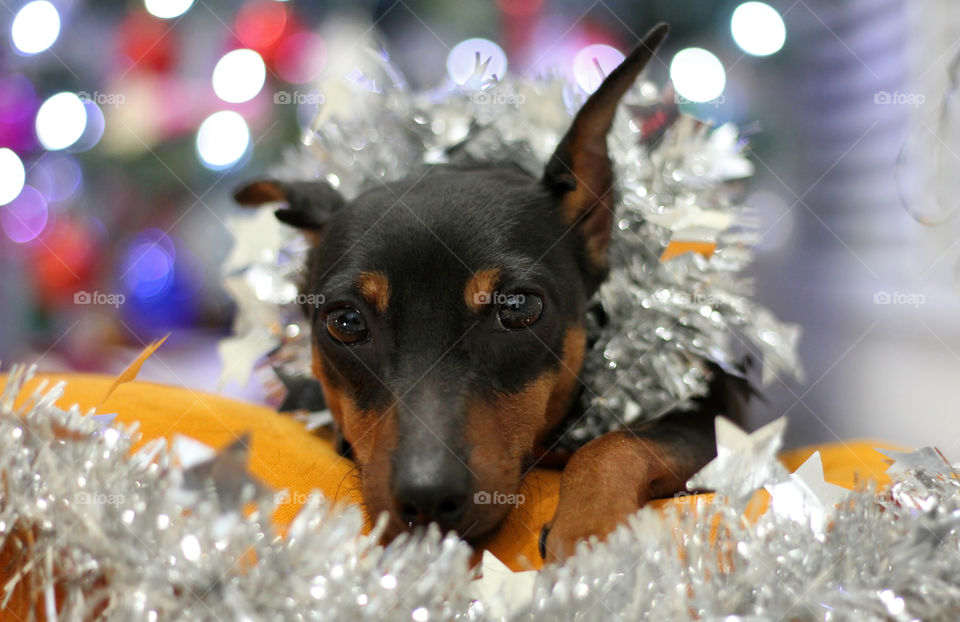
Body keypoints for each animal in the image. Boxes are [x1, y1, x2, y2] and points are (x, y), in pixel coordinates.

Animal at [236, 24, 748, 564]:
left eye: (520, 308)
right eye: (346, 323)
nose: (427, 500)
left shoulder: (714, 416)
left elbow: (618, 443)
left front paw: (590, 529)